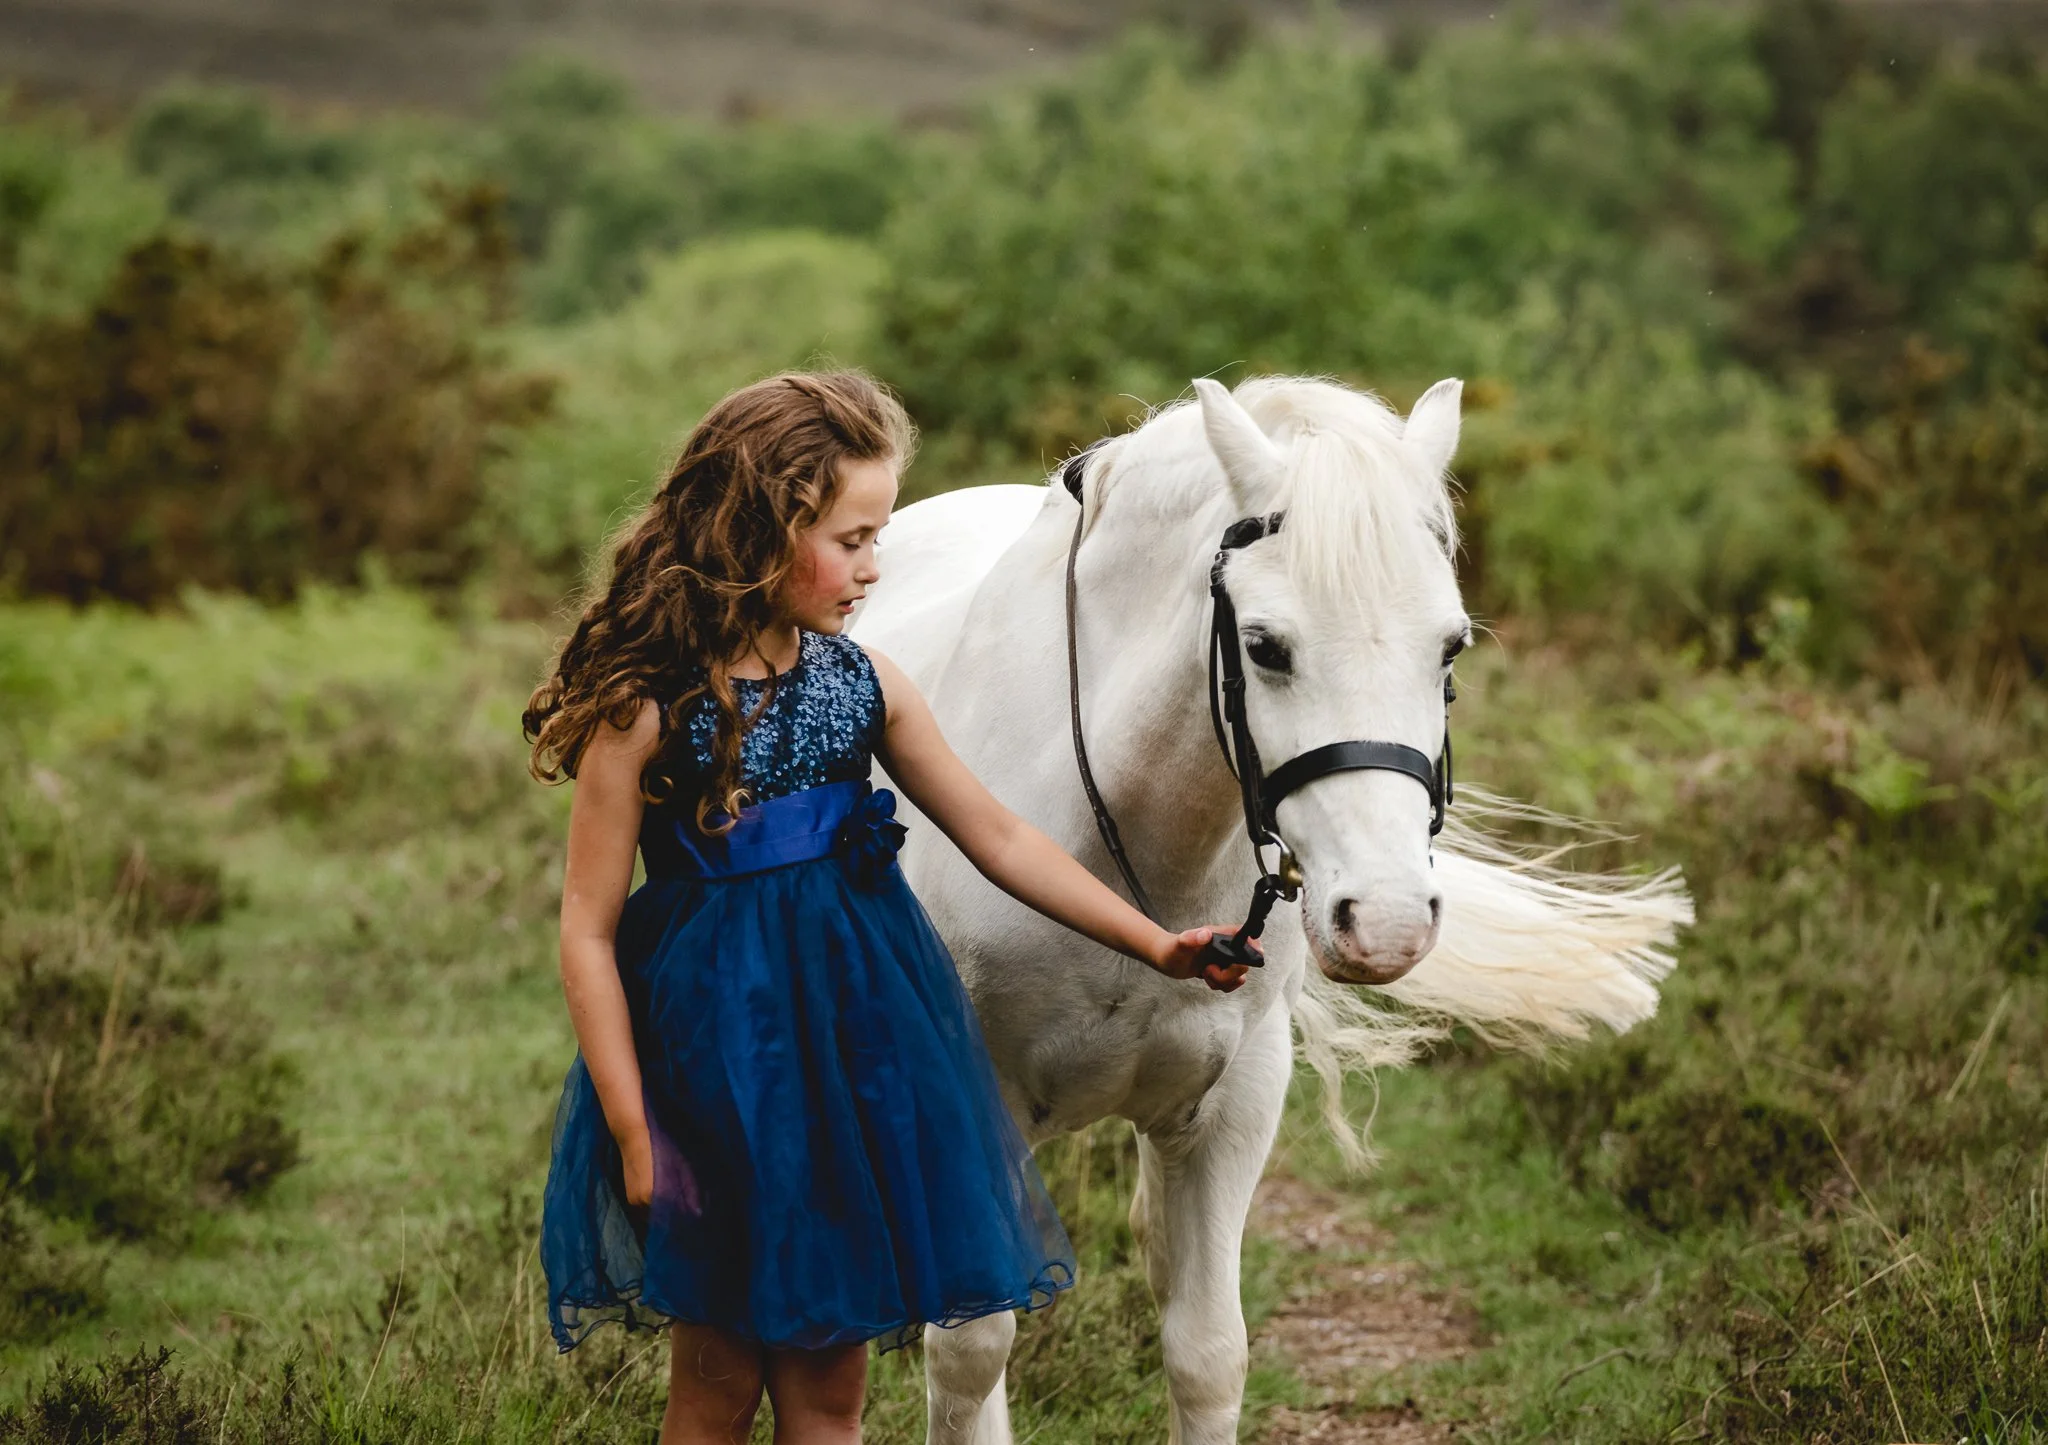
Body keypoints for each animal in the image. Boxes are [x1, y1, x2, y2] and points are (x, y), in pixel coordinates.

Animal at [851, 376, 1690, 1445]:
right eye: (1265, 647)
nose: (1388, 920)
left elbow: (1208, 1353)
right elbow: (970, 1348)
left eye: (1451, 644)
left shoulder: (1234, 1104)